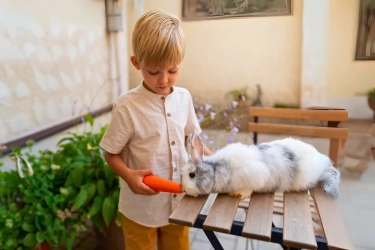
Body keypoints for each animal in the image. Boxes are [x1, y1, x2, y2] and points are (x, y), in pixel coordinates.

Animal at [182, 131, 340, 199]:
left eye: (192, 174)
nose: (184, 189)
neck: (217, 169)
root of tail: (322, 163)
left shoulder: (254, 177)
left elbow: (247, 191)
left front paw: (237, 194)